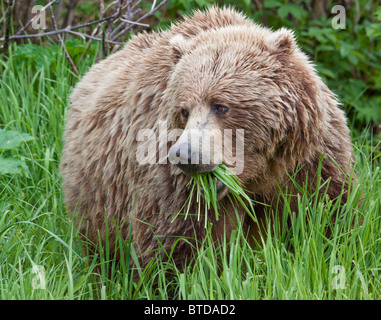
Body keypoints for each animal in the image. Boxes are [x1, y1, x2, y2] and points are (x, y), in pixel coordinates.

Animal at [60, 6, 354, 272]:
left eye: (220, 106)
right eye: (184, 110)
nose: (185, 155)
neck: (257, 176)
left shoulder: (309, 161)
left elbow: (331, 216)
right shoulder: (176, 187)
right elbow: (174, 248)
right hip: (96, 200)